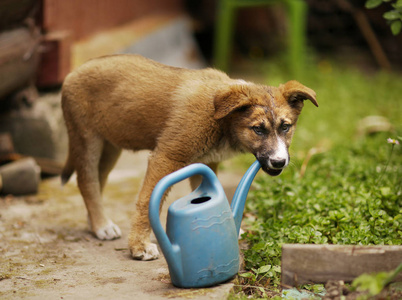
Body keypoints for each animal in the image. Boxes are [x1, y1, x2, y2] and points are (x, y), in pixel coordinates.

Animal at [61, 54, 318, 260]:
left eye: (285, 127)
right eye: (258, 129)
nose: (279, 161)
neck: (222, 120)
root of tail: (71, 74)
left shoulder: (206, 161)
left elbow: (205, 192)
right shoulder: (166, 156)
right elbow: (147, 202)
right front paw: (139, 246)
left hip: (111, 145)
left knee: (97, 181)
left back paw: (96, 223)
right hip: (87, 140)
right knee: (86, 181)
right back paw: (101, 225)